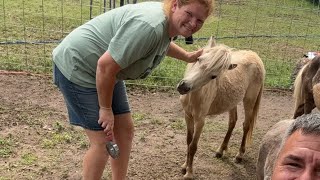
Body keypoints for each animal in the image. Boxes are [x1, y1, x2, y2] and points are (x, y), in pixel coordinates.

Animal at [178, 37, 264, 179]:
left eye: (213, 76)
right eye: (198, 59)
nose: (184, 87)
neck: (195, 94)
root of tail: (255, 56)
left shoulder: (200, 121)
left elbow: (193, 146)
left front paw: (189, 173)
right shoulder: (187, 116)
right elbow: (188, 141)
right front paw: (184, 166)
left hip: (249, 101)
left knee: (246, 125)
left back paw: (239, 155)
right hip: (232, 103)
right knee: (232, 122)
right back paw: (220, 151)